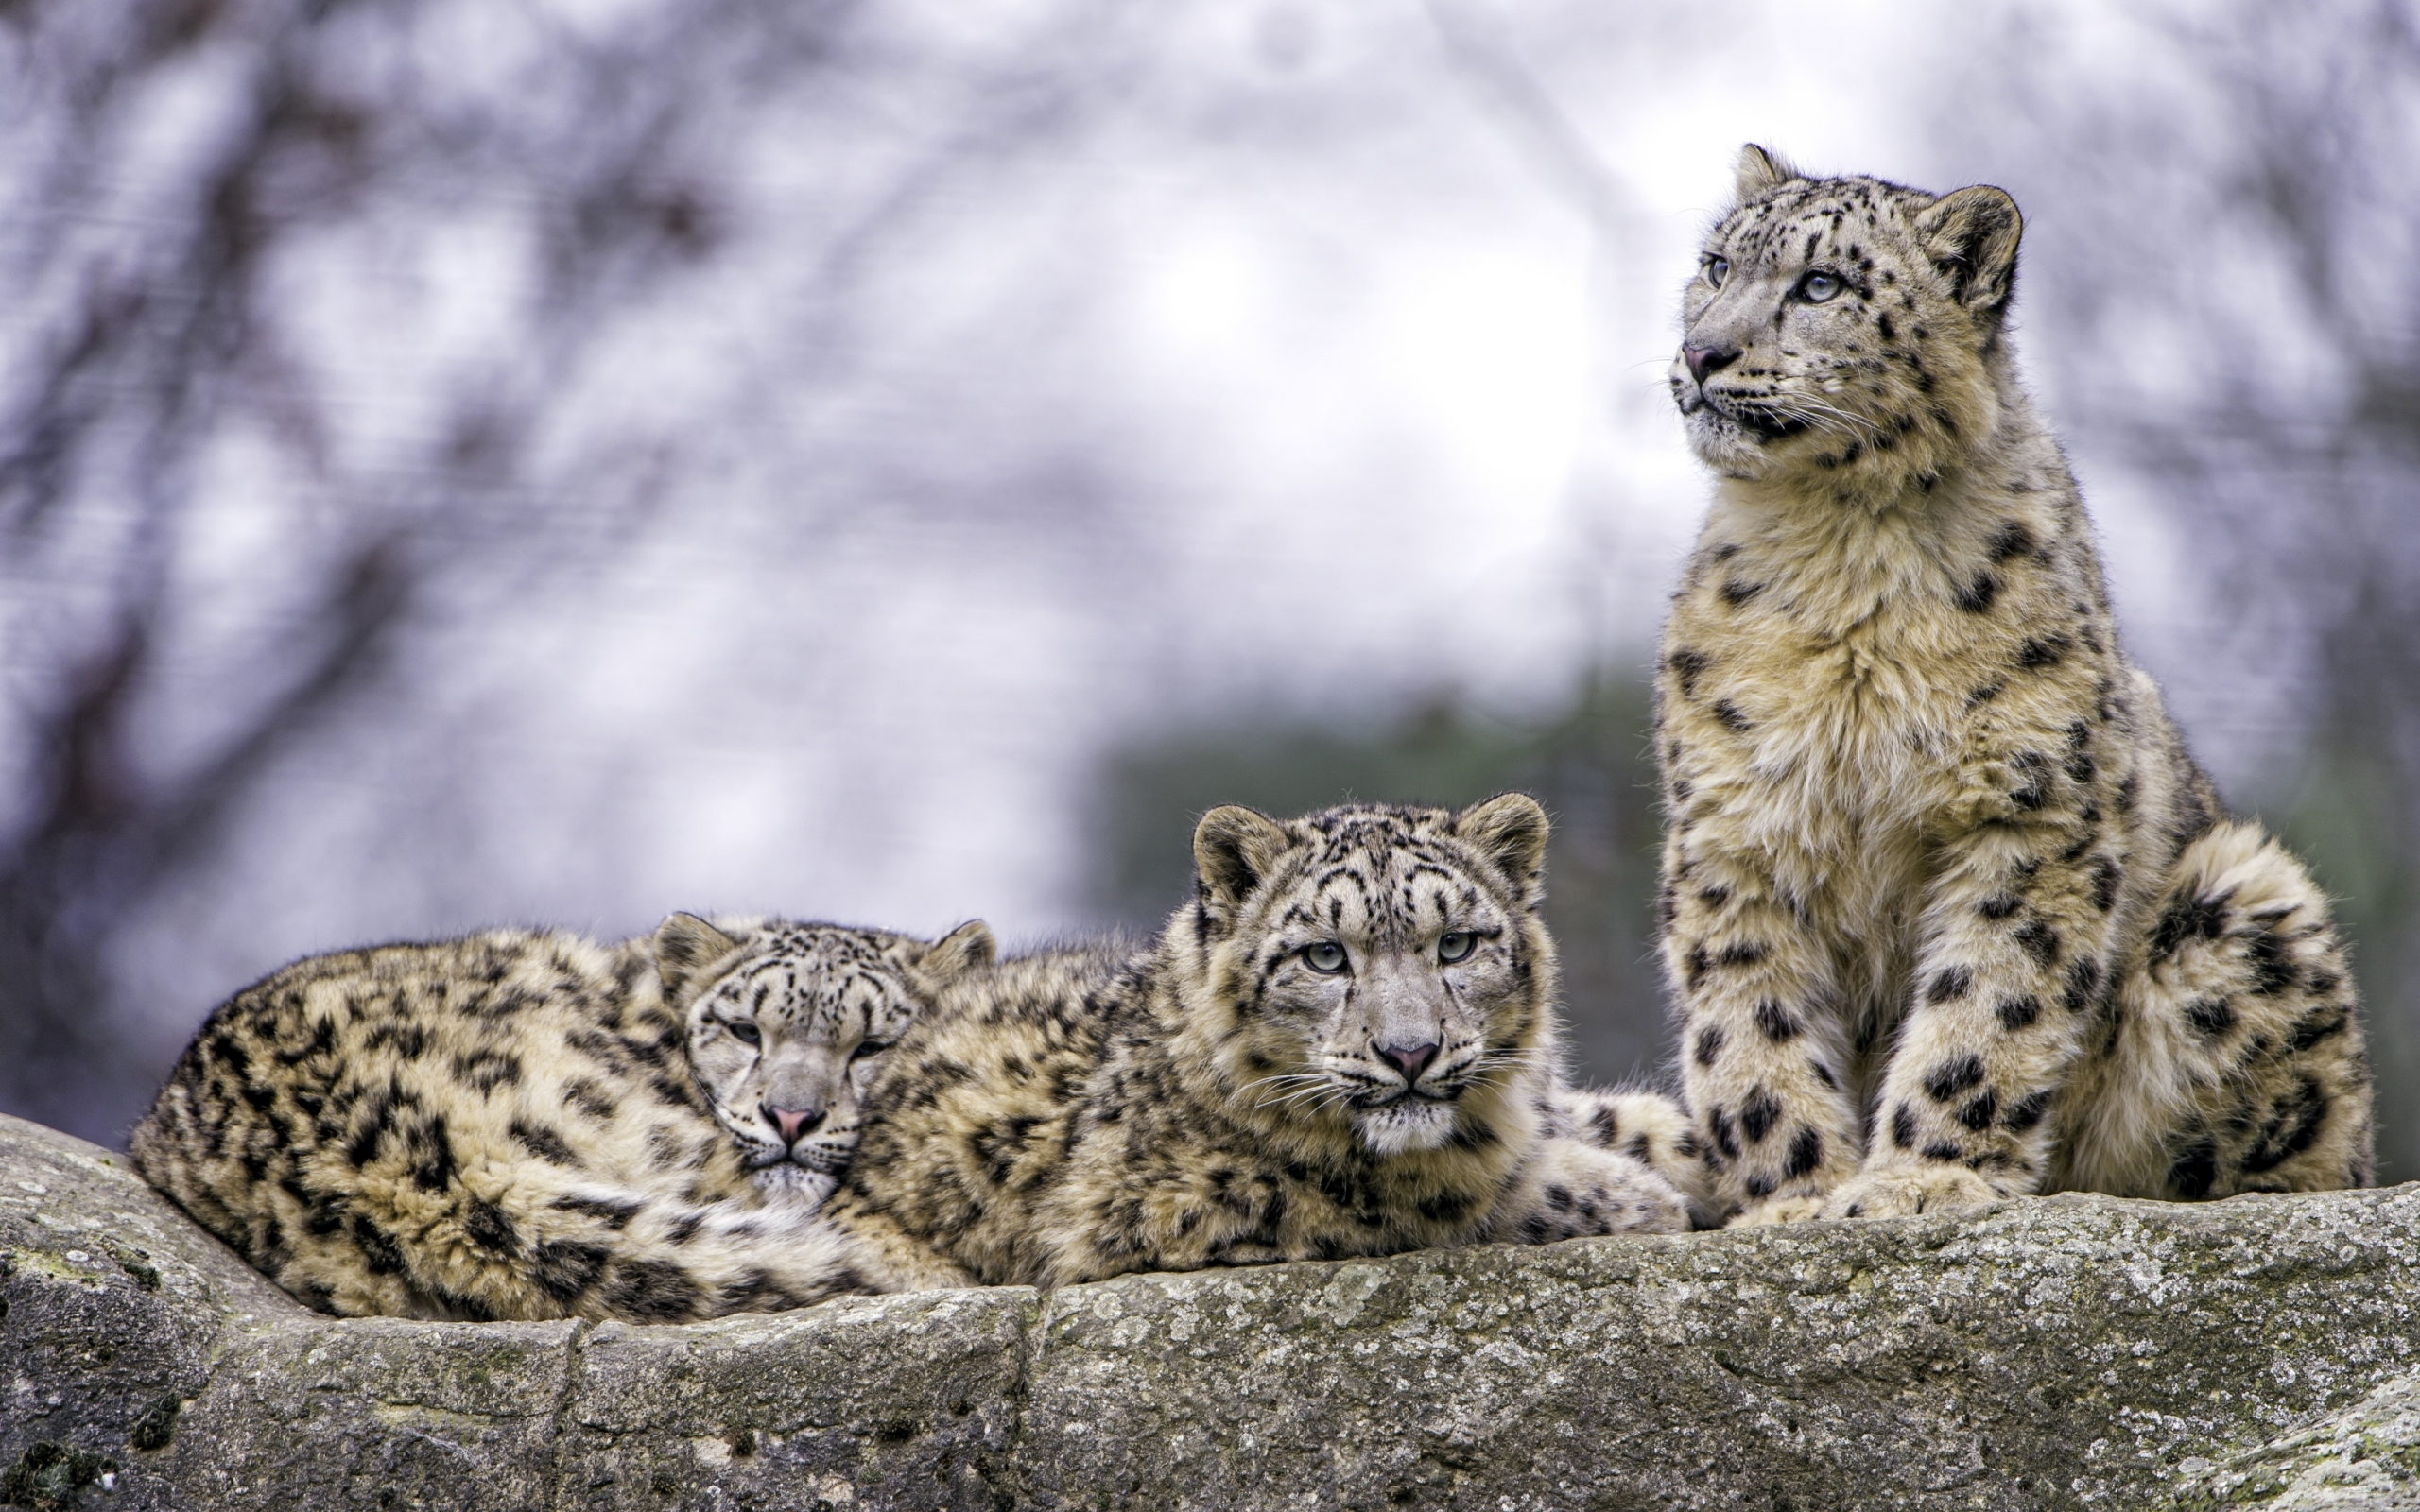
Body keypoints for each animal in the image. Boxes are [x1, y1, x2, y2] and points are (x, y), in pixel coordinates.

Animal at [808, 788, 1684, 1297]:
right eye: (1325, 956)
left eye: (1458, 945)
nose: (1409, 1054)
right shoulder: (1190, 1199)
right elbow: (1457, 1199)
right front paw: (1639, 1197)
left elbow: (1620, 1122)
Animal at [1655, 141, 2371, 1228]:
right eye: (1715, 266)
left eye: (1820, 285)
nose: (1702, 354)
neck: (1839, 559)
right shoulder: (1736, 829)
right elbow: (1748, 1024)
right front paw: (1793, 1200)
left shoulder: (2025, 812)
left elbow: (1989, 1001)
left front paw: (1920, 1181)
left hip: (2246, 899)